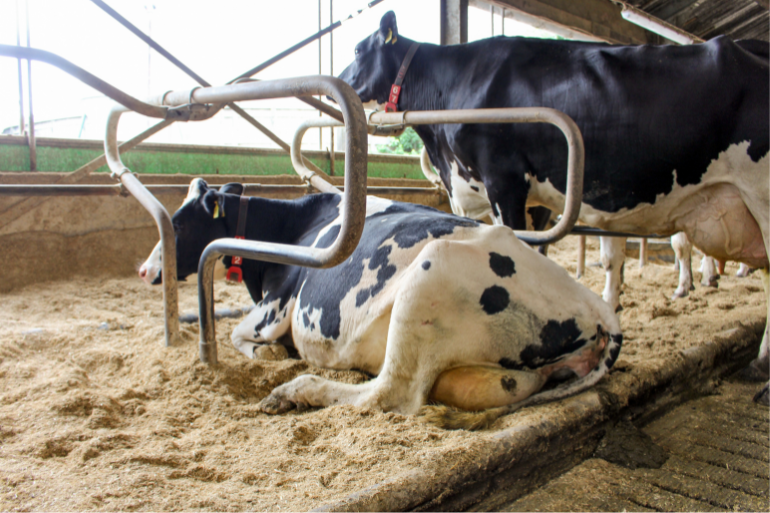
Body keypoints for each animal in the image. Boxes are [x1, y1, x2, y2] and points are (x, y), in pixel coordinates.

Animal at [139, 178, 623, 428]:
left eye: (178, 224)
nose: (144, 271)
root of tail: (601, 313)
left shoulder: (275, 307)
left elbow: (241, 334)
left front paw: (270, 355)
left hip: (430, 274)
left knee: (390, 393)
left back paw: (295, 391)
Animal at [338, 12, 769, 403]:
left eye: (358, 49)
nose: (337, 80)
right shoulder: (532, 200)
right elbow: (553, 255)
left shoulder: (505, 180)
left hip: (761, 192)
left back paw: (760, 370)